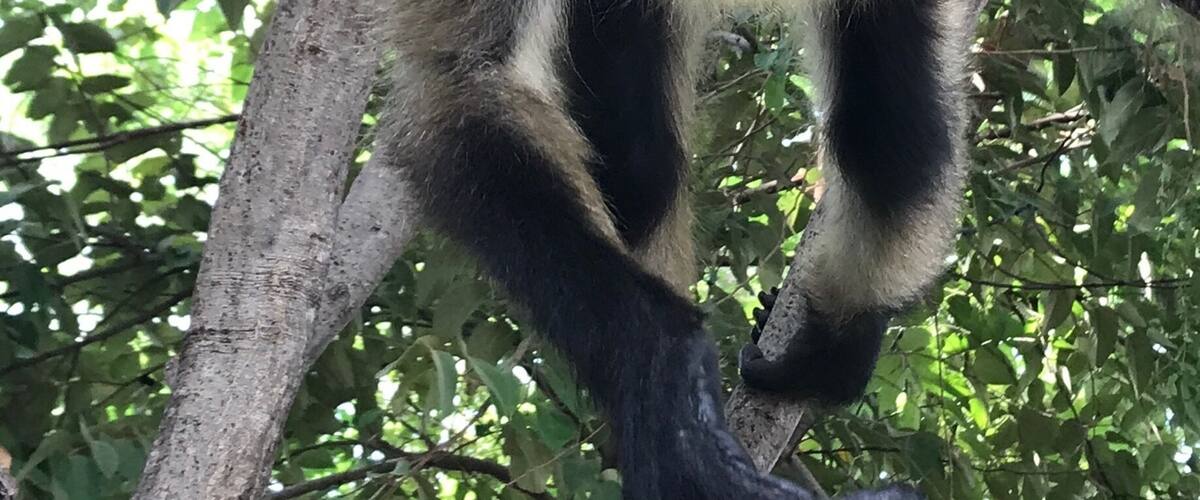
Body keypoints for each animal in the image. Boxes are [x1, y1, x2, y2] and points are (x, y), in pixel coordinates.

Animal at [379, 0, 974, 498]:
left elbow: (894, 142)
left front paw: (837, 346)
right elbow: (463, 76)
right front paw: (670, 402)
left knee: (886, 134)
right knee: (640, 166)